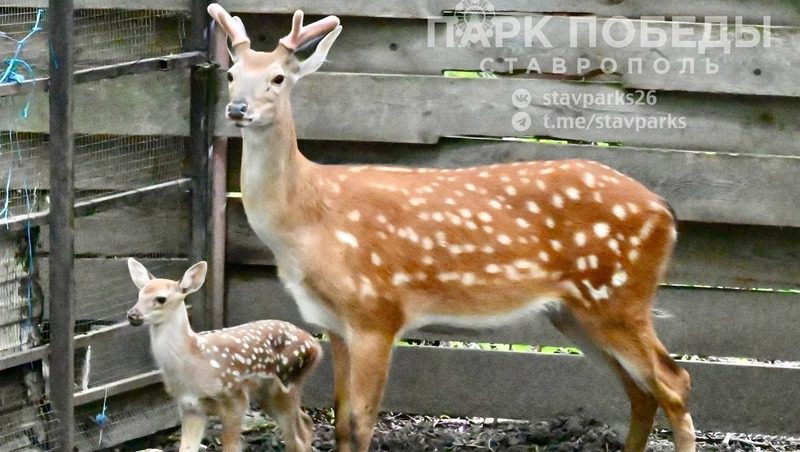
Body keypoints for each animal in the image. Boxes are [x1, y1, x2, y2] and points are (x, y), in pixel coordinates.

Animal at [126, 260, 320, 452]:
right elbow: (187, 447)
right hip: (268, 393)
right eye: (139, 294)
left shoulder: (234, 396)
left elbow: (231, 446)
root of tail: (315, 345)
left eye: (161, 299)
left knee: (298, 438)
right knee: (306, 422)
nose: (132, 314)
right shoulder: (190, 406)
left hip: (286, 385)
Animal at [206, 4, 692, 452]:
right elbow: (341, 424)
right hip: (575, 312)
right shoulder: (334, 323)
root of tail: (664, 211)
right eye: (230, 73)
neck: (309, 221)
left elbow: (360, 424)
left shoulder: (377, 312)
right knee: (641, 392)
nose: (237, 108)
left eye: (278, 78)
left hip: (619, 298)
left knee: (674, 382)